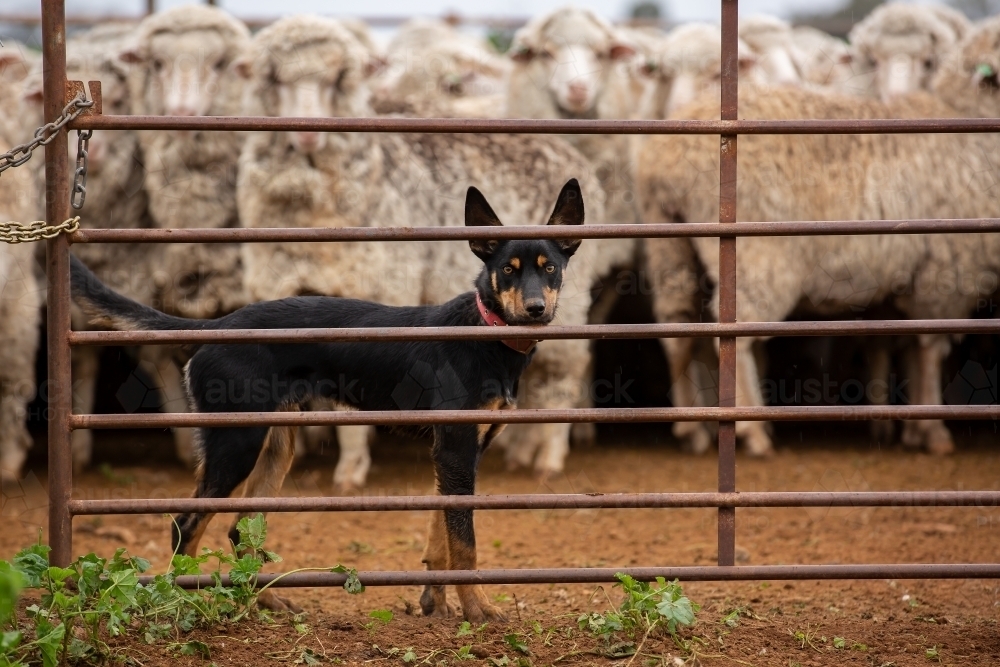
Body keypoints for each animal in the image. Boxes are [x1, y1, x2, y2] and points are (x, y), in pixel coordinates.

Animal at [70, 179, 584, 620]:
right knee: (186, 525)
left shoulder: (459, 452)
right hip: (235, 445)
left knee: (241, 533)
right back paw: (187, 603)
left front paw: (435, 603)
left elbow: (442, 536)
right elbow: (465, 544)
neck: (484, 333)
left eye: (551, 268)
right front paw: (477, 609)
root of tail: (214, 326)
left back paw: (267, 604)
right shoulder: (455, 451)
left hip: (276, 446)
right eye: (507, 272)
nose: (536, 310)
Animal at [235, 13, 608, 488]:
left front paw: (351, 469)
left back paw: (549, 456)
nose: (307, 133)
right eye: (274, 78)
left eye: (339, 79)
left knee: (562, 373)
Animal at [636, 18, 1000, 456]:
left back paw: (690, 427)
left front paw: (915, 428)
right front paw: (933, 431)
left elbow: (912, 346)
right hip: (757, 257)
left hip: (668, 245)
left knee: (677, 328)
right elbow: (929, 348)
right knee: (733, 336)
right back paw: (752, 429)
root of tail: (664, 159)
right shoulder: (948, 270)